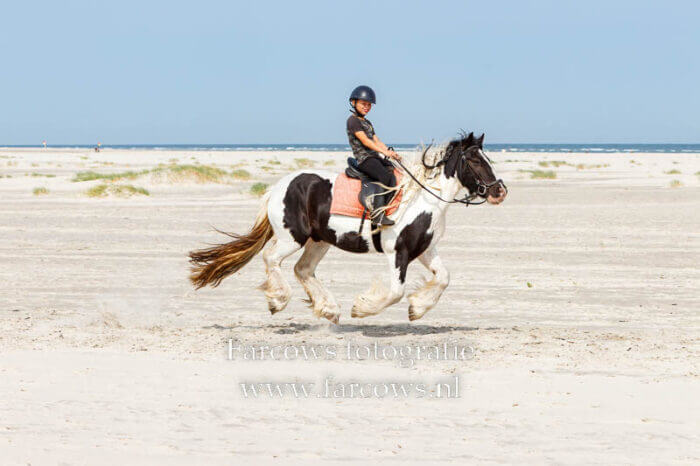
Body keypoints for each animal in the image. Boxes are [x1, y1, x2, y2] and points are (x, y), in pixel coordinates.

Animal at [189, 129, 506, 322]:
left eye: (487, 158)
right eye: (476, 160)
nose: (499, 192)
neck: (424, 198)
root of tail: (277, 187)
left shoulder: (425, 249)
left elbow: (444, 278)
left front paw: (417, 309)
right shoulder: (398, 252)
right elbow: (395, 291)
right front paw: (362, 308)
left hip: (319, 241)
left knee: (302, 269)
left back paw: (328, 309)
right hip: (293, 238)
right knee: (271, 258)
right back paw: (278, 300)